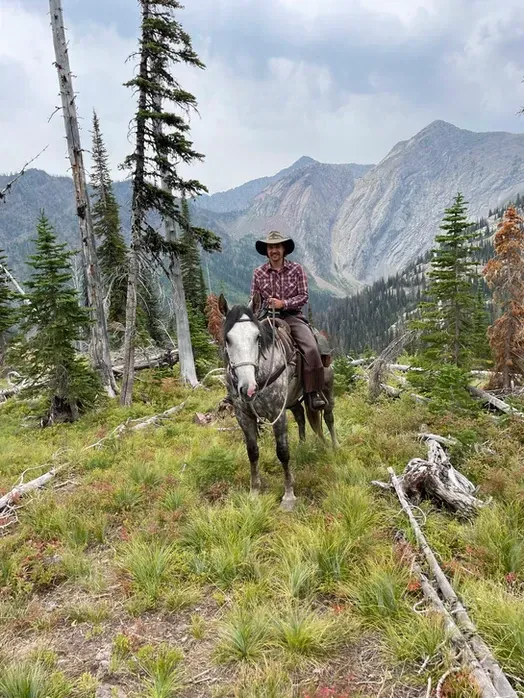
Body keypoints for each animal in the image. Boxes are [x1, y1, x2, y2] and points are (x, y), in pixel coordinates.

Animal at [218, 293, 337, 511]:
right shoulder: (243, 416)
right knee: (300, 417)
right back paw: (302, 445)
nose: (248, 388)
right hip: (292, 400)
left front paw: (289, 496)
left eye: (257, 337)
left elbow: (282, 452)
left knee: (329, 417)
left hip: (327, 389)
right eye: (227, 339)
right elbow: (252, 452)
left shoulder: (277, 413)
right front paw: (254, 492)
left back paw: (335, 447)